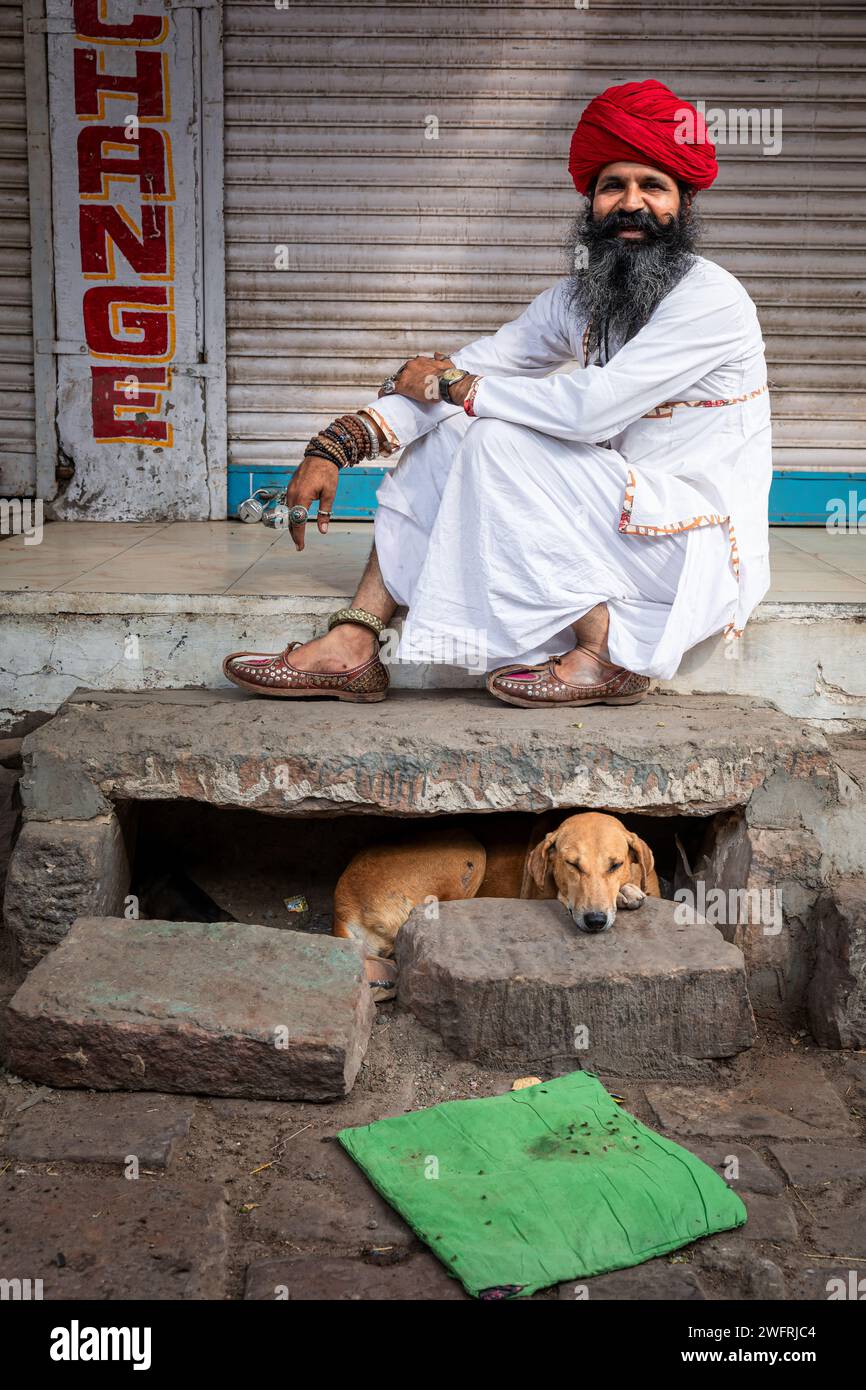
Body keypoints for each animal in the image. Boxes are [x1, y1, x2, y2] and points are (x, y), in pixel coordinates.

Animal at [330, 811, 656, 961]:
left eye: (615, 865)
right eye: (572, 865)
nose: (595, 920)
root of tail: (343, 907)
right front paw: (624, 894)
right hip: (467, 846)